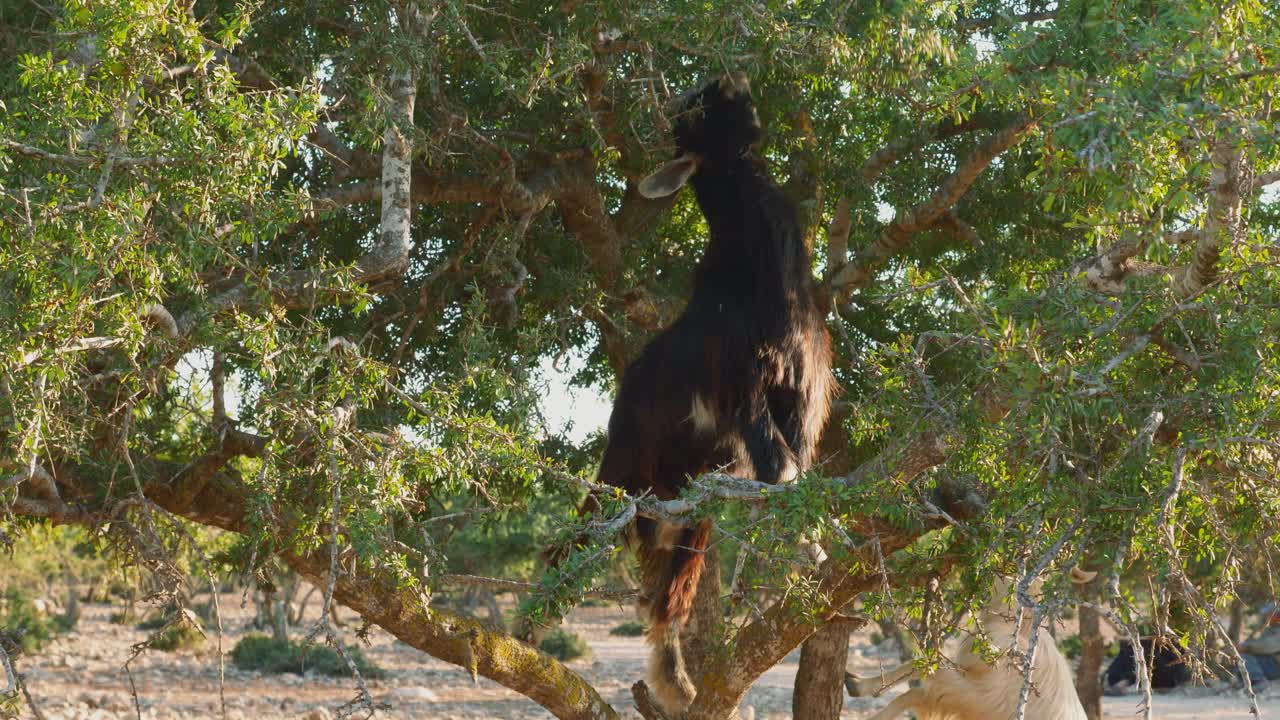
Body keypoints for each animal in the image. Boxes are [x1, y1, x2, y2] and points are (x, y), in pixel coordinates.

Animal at [596, 73, 833, 715]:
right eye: (694, 119)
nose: (726, 82)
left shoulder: (800, 389)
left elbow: (797, 468)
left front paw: (815, 545)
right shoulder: (742, 386)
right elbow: (780, 468)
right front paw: (810, 546)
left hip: (690, 502)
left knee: (668, 591)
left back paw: (675, 681)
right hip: (624, 474)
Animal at [850, 572, 1094, 720]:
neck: (1019, 628)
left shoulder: (974, 696)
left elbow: (920, 678)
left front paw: (859, 688)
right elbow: (920, 670)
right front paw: (857, 684)